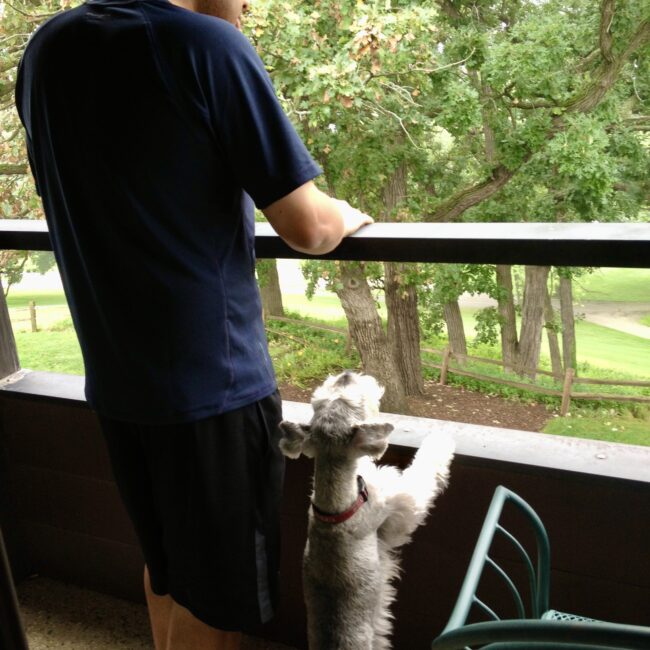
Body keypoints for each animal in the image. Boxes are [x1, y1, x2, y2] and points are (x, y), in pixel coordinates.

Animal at [280, 370, 456, 648]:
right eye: (352, 400)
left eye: (319, 400)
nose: (345, 374)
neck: (337, 505)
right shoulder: (400, 508)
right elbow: (423, 474)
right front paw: (441, 438)